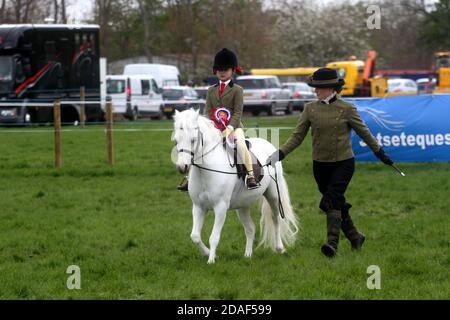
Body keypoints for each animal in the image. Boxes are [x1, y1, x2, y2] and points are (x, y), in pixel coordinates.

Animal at [172, 109, 298, 264]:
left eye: (193, 140)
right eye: (176, 140)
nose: (181, 167)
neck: (206, 170)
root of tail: (269, 145)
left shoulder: (220, 207)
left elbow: (214, 237)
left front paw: (211, 260)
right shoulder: (198, 207)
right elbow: (195, 236)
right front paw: (208, 254)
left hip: (273, 195)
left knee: (276, 219)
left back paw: (279, 248)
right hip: (242, 205)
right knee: (250, 228)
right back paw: (248, 255)